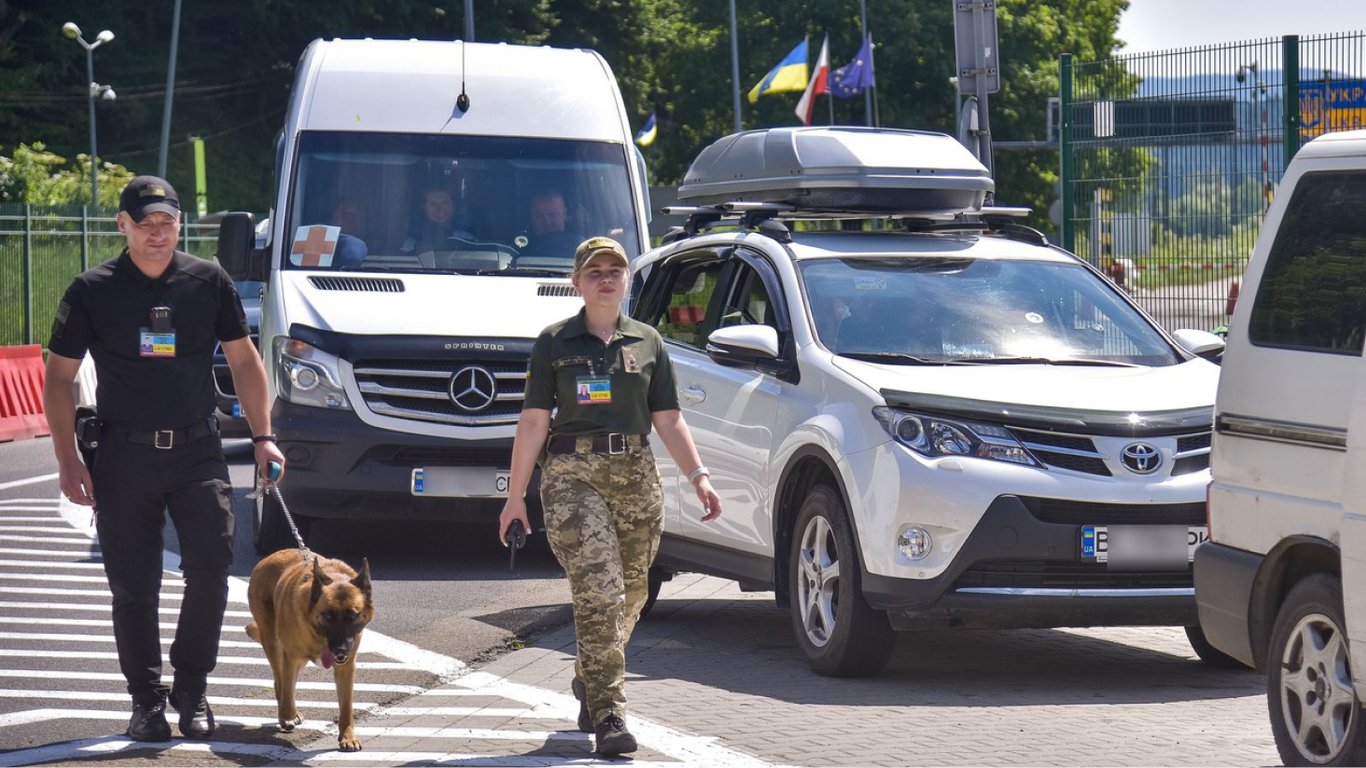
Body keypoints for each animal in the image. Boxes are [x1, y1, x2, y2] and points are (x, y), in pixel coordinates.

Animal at [245, 546, 374, 748]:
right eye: (328, 616)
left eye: (352, 616)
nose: (341, 650)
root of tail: (269, 557)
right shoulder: (291, 659)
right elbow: (287, 691)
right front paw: (288, 716)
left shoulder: (346, 668)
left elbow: (346, 707)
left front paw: (348, 736)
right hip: (273, 643)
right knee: (280, 681)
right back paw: (285, 715)